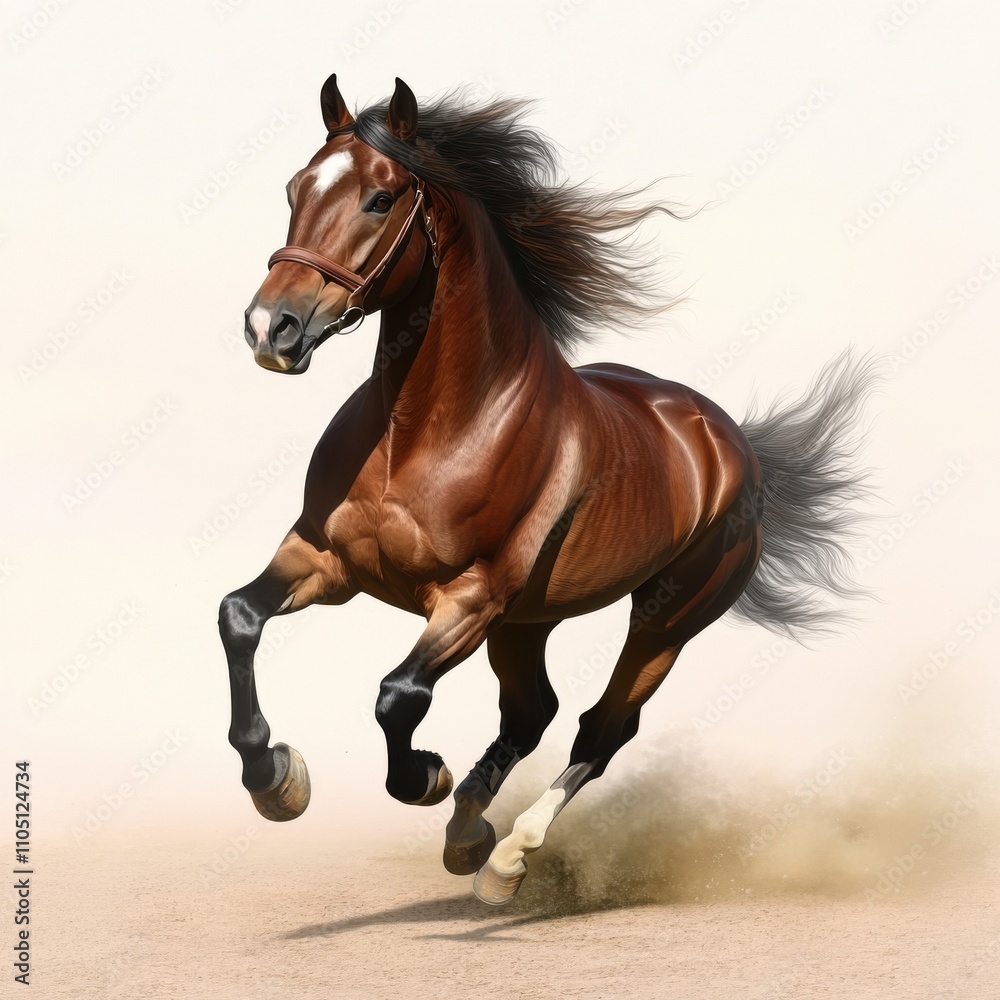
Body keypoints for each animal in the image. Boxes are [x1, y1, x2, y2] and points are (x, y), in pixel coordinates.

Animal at [220, 75, 877, 905]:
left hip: (664, 621)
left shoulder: (469, 598)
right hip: (528, 623)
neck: (424, 430)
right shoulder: (325, 561)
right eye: (294, 188)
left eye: (380, 198)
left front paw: (424, 777)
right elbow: (239, 617)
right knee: (535, 711)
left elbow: (398, 695)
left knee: (601, 726)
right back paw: (469, 834)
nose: (270, 328)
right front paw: (276, 780)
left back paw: (504, 858)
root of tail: (730, 442)